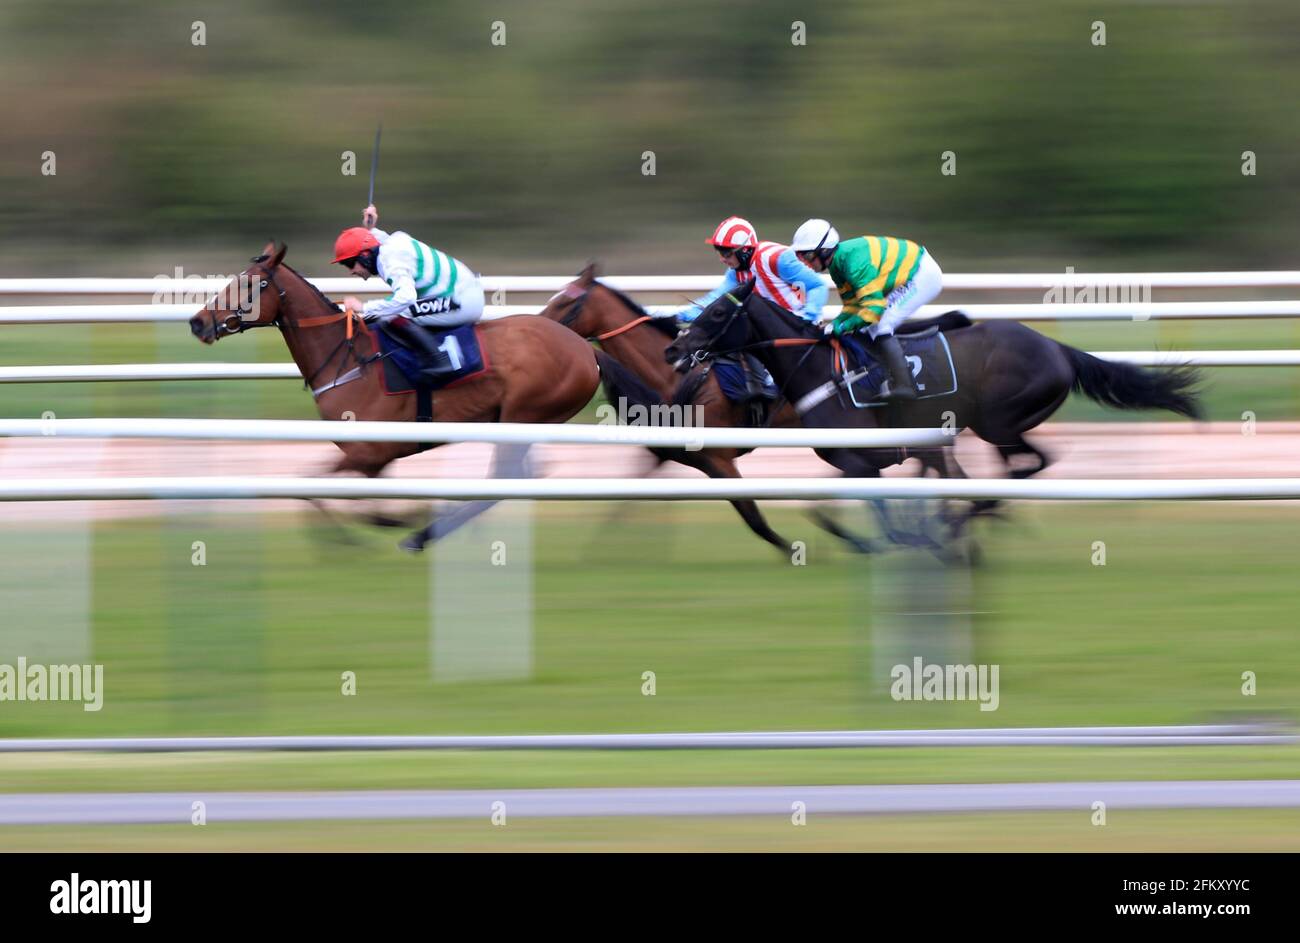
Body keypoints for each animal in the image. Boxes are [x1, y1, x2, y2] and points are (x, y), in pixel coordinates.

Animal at [188, 243, 655, 551]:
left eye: (253, 285)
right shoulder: (374, 459)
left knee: (509, 477)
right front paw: (381, 523)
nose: (197, 322)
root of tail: (586, 350)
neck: (346, 356)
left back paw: (425, 534)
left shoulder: (367, 452)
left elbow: (317, 491)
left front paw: (394, 522)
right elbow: (326, 494)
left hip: (523, 414)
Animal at [665, 284, 1201, 515]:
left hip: (998, 422)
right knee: (1019, 467)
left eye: (718, 313)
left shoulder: (865, 460)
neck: (815, 368)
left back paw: (975, 512)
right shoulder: (870, 459)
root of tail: (1057, 348)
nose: (675, 348)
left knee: (1027, 464)